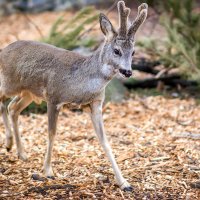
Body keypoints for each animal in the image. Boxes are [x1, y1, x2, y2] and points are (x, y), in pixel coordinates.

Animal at [0, 0, 147, 191]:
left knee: (13, 108)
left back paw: (19, 151)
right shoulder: (53, 97)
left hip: (29, 93)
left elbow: (105, 141)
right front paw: (48, 171)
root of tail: (3, 50)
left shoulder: (95, 104)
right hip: (10, 83)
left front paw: (124, 183)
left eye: (133, 52)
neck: (80, 80)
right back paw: (9, 143)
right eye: (116, 50)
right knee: (3, 101)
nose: (128, 71)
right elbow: (51, 133)